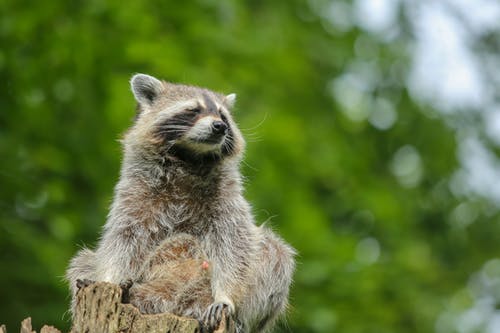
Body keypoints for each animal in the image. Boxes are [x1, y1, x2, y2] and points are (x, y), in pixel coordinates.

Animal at [64, 74, 294, 330]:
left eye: (223, 115)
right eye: (194, 110)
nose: (219, 126)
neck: (190, 157)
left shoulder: (227, 197)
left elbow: (235, 244)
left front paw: (226, 296)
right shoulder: (135, 193)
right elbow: (123, 239)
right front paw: (109, 277)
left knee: (274, 254)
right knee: (84, 261)